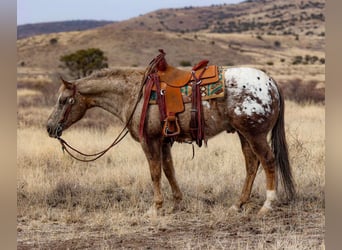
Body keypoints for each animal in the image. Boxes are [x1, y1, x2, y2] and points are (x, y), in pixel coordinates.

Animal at [46, 54, 296, 215]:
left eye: (62, 101)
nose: (49, 127)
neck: (134, 93)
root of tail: (271, 83)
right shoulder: (165, 141)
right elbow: (169, 170)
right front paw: (177, 202)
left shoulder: (149, 141)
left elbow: (155, 172)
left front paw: (155, 207)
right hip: (244, 134)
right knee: (252, 165)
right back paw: (238, 204)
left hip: (255, 134)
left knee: (268, 161)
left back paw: (267, 205)